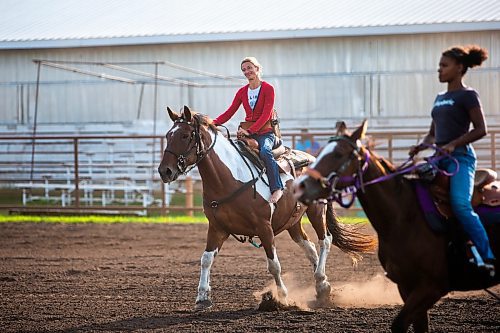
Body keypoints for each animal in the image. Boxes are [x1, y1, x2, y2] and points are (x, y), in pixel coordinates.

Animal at [157, 105, 376, 308]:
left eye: (185, 135)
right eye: (168, 135)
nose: (164, 171)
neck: (228, 179)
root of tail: (314, 159)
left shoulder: (264, 228)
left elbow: (274, 264)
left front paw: (282, 297)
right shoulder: (217, 228)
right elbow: (205, 259)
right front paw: (202, 297)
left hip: (316, 210)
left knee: (325, 241)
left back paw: (321, 282)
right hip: (293, 223)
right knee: (310, 248)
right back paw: (322, 286)